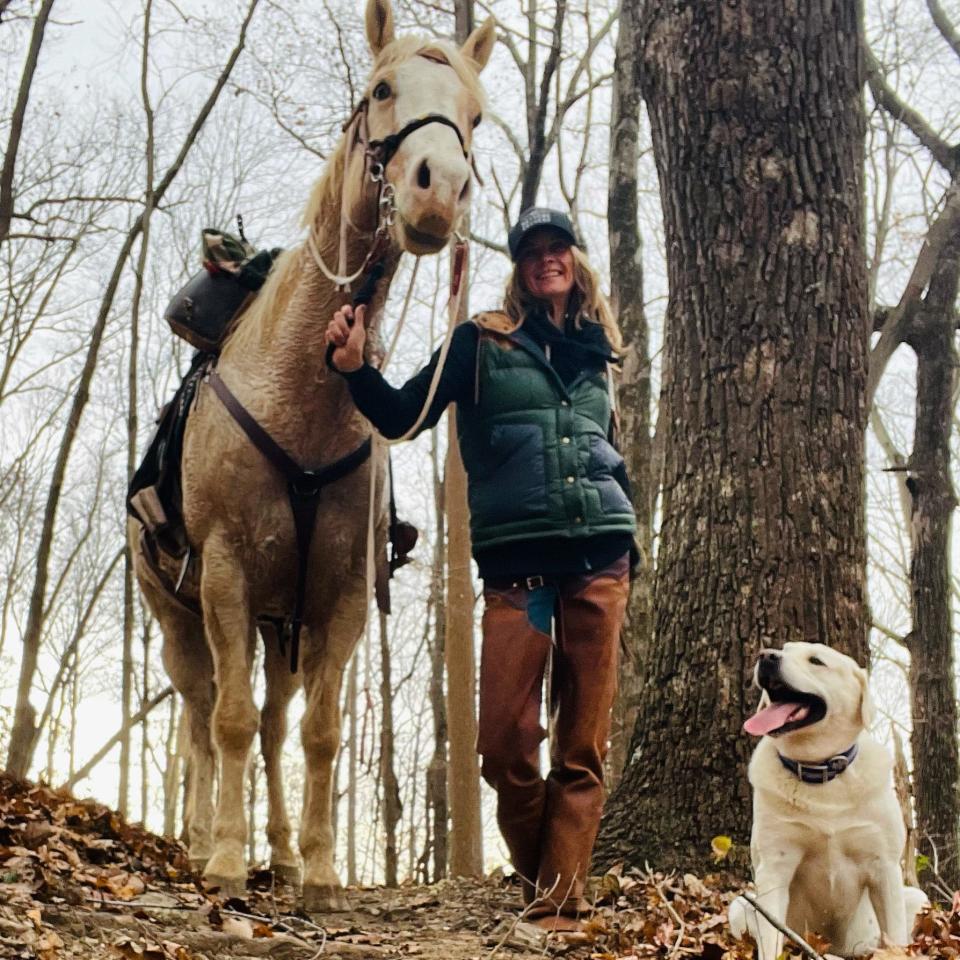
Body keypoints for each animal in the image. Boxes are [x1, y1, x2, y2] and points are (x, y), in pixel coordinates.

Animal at [131, 0, 496, 912]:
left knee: (269, 725)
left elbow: (319, 734)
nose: (439, 190)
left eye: (475, 115)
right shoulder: (225, 575)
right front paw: (227, 863)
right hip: (178, 615)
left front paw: (321, 873)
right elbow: (224, 722)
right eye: (382, 89)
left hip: (280, 625)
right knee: (200, 716)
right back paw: (201, 841)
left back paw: (285, 856)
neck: (301, 397)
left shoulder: (339, 596)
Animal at [732, 640, 928, 956]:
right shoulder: (774, 866)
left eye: (816, 661)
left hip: (915, 897)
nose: (766, 656)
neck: (820, 771)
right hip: (740, 905)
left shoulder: (884, 865)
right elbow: (771, 940)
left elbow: (896, 936)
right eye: (785, 649)